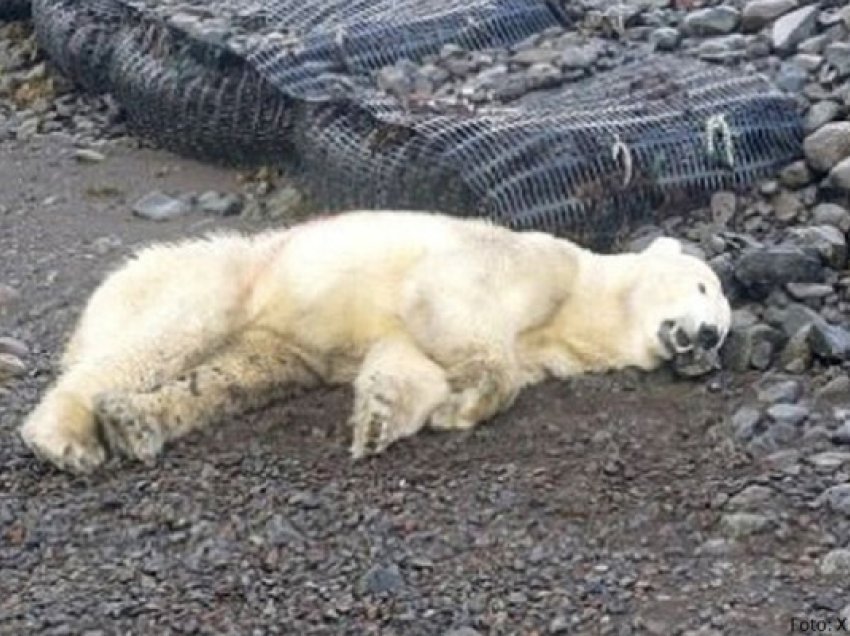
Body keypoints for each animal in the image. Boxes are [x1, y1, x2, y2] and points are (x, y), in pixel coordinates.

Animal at [18, 209, 728, 472]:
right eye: (703, 286)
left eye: (723, 330)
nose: (709, 335)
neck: (582, 304)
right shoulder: (529, 261)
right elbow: (453, 303)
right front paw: (468, 402)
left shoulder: (540, 345)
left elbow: (408, 359)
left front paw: (383, 419)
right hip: (224, 278)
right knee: (165, 338)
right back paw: (64, 438)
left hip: (271, 341)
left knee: (233, 378)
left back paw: (135, 424)